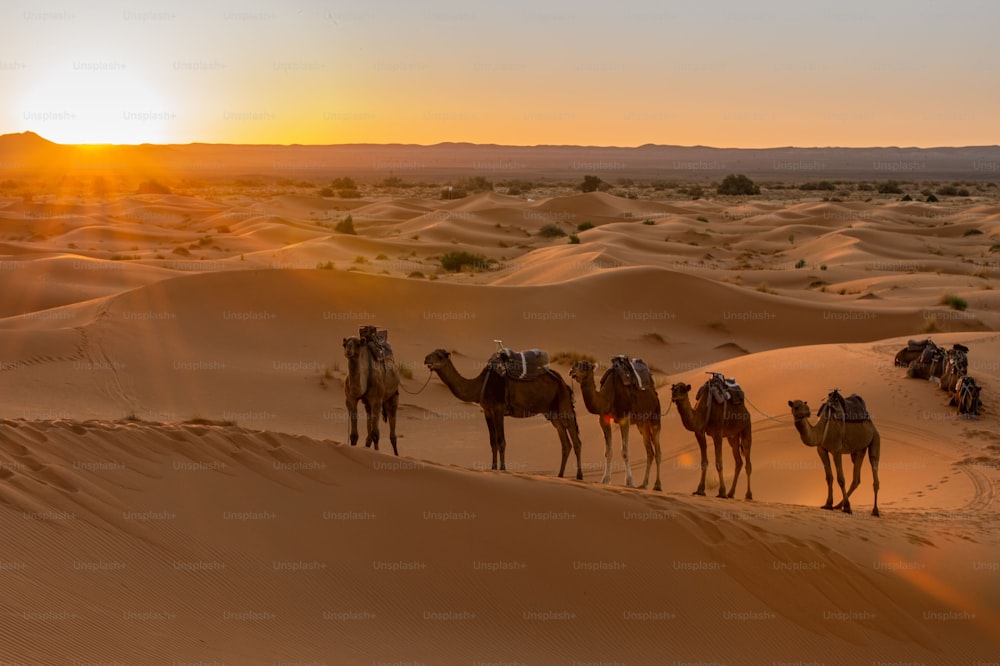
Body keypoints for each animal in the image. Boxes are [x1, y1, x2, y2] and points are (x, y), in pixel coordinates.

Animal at [424, 348, 584, 478]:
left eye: (439, 356)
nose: (426, 359)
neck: (480, 385)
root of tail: (565, 384)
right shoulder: (488, 411)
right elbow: (493, 441)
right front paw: (493, 467)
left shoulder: (499, 409)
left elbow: (501, 441)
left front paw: (503, 468)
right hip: (554, 414)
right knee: (565, 444)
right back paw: (560, 475)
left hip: (564, 406)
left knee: (576, 441)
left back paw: (579, 475)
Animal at [568, 360, 660, 490]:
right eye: (574, 365)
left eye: (585, 366)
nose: (572, 371)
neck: (608, 396)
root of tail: (653, 392)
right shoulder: (604, 420)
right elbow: (608, 452)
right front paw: (605, 480)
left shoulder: (624, 418)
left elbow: (625, 452)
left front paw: (630, 482)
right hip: (642, 424)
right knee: (650, 452)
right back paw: (644, 484)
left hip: (655, 416)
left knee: (658, 452)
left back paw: (657, 486)